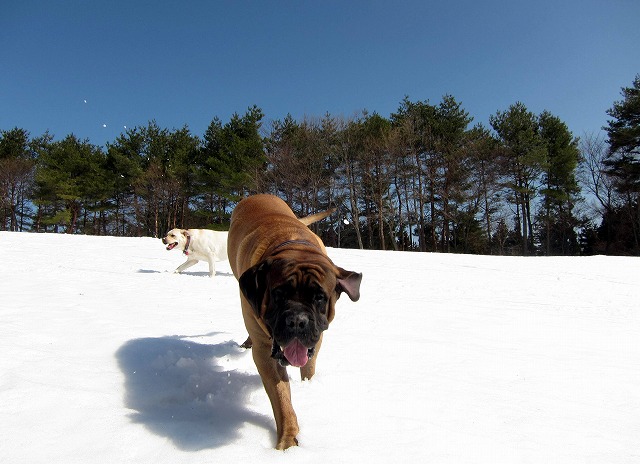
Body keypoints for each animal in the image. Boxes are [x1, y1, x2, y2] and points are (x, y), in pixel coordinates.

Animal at [228, 195, 362, 450]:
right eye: (279, 294)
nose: (298, 321)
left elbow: (308, 367)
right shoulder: (264, 351)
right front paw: (288, 440)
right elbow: (281, 397)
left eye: (319, 297)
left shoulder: (316, 339)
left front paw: (308, 387)